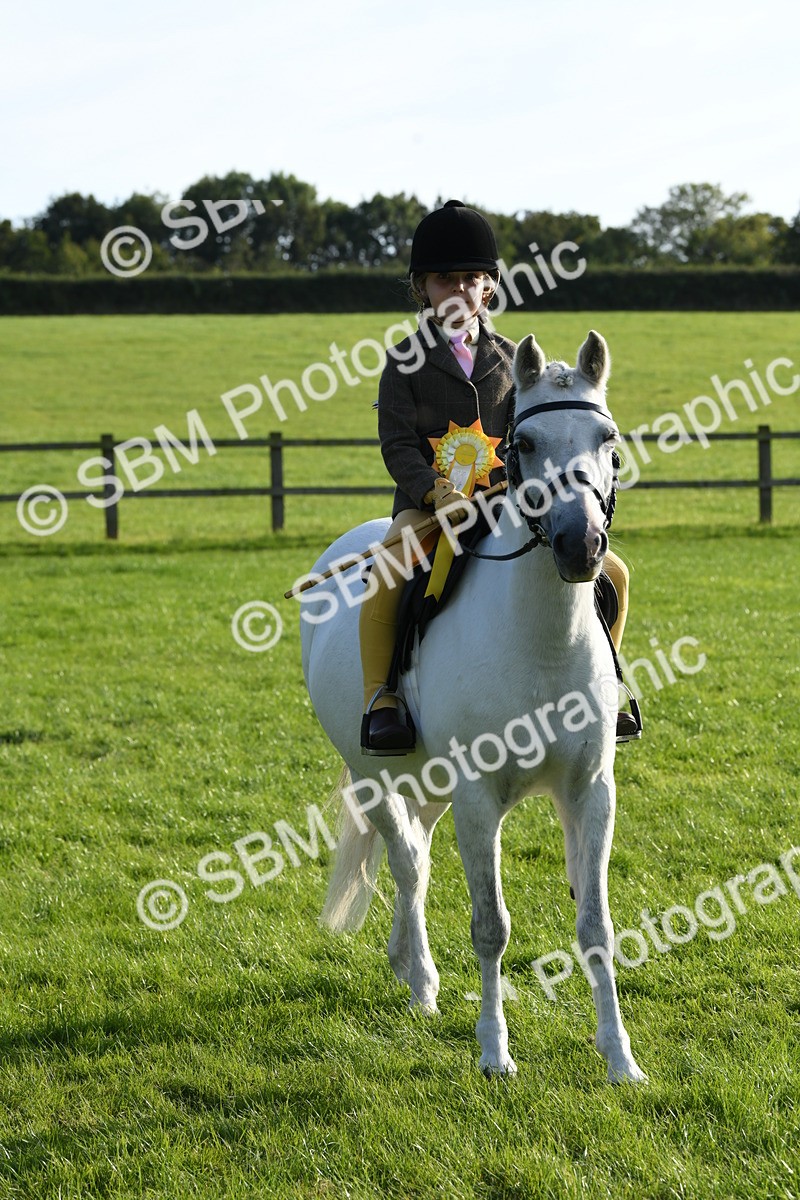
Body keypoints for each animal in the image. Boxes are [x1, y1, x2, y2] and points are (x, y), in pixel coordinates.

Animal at [298, 330, 646, 1083]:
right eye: (526, 443)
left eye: (607, 438)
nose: (580, 545)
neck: (540, 639)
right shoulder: (479, 796)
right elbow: (491, 926)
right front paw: (494, 1053)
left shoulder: (591, 790)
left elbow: (596, 926)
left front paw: (619, 1059)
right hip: (374, 775)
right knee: (407, 862)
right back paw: (422, 982)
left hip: (433, 788)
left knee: (419, 855)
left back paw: (406, 963)